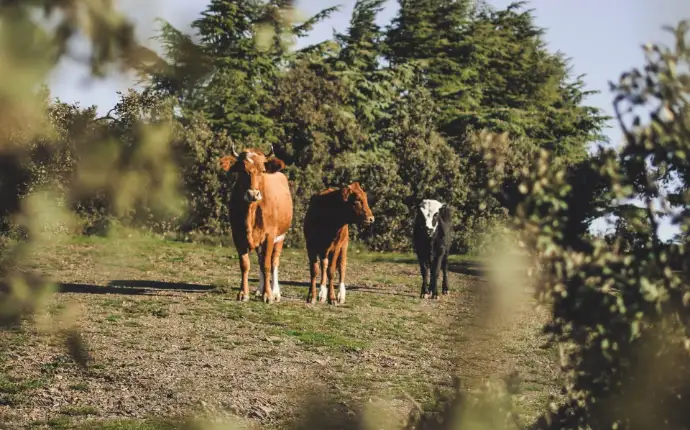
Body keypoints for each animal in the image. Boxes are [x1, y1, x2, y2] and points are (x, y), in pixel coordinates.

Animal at [219, 142, 293, 303]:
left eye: (262, 171)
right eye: (242, 170)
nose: (253, 194)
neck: (251, 212)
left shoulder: (270, 236)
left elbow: (267, 265)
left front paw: (268, 295)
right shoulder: (237, 235)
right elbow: (245, 264)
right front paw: (243, 293)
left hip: (281, 236)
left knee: (274, 261)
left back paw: (275, 292)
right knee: (260, 260)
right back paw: (259, 290)